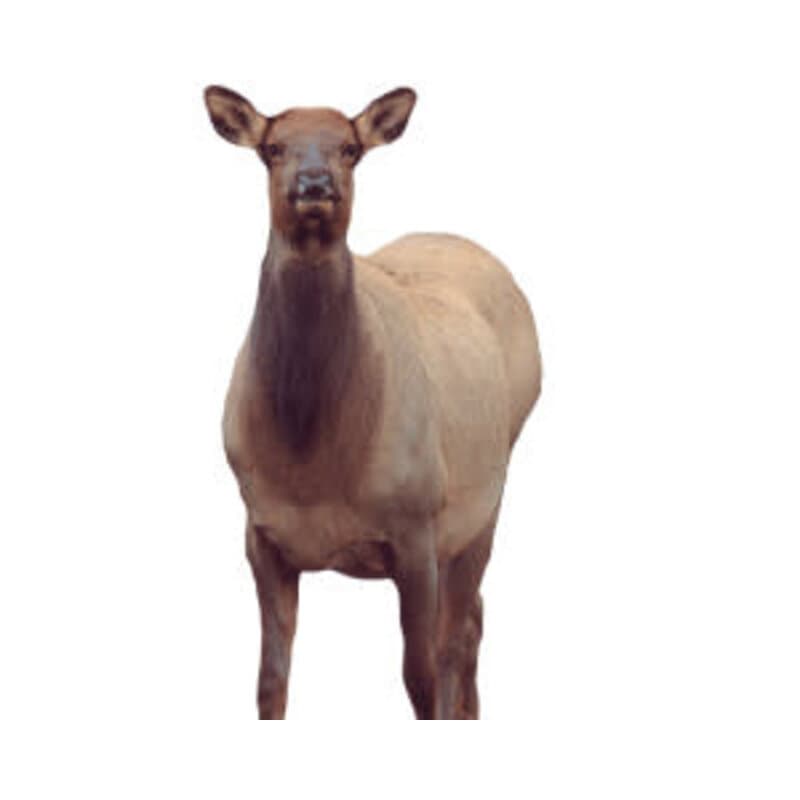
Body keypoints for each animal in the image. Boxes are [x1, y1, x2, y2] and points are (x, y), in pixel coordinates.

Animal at [203, 84, 542, 719]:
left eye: (351, 148)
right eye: (273, 148)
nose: (314, 184)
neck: (313, 469)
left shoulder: (416, 526)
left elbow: (421, 678)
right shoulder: (261, 531)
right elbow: (269, 683)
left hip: (484, 498)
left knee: (459, 633)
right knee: (475, 619)